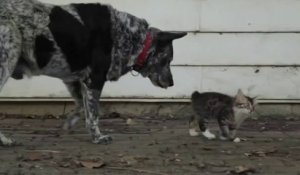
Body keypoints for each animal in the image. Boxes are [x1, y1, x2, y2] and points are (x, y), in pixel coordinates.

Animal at [0, 0, 186, 146]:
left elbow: (82, 106)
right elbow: (94, 113)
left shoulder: (74, 79)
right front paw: (97, 137)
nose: (172, 83)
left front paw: (70, 122)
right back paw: (4, 140)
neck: (134, 38)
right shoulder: (94, 79)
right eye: (168, 60)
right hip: (8, 59)